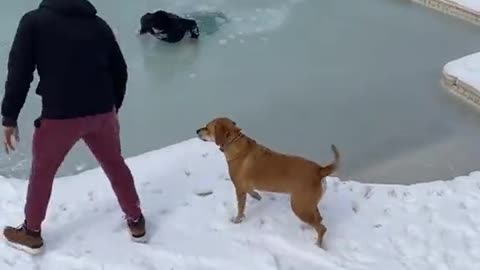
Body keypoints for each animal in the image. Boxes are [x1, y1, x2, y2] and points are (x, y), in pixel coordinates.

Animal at [195, 116, 338, 247]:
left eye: (207, 127)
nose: (196, 130)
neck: (235, 143)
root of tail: (320, 170)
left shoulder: (239, 188)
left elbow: (240, 208)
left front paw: (237, 220)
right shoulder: (244, 185)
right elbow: (251, 191)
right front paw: (257, 196)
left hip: (299, 205)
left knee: (321, 227)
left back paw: (318, 244)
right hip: (308, 205)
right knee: (318, 219)